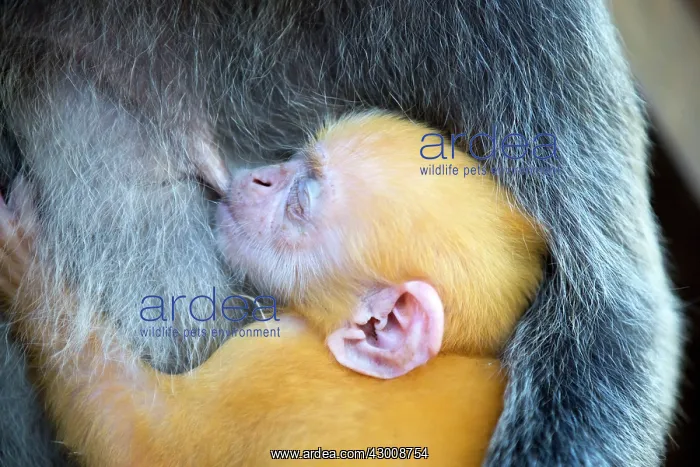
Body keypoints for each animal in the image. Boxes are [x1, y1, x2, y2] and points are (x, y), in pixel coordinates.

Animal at [0, 112, 545, 466]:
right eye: (297, 161)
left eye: (300, 201)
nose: (261, 177)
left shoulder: (280, 363)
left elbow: (138, 440)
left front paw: (26, 263)